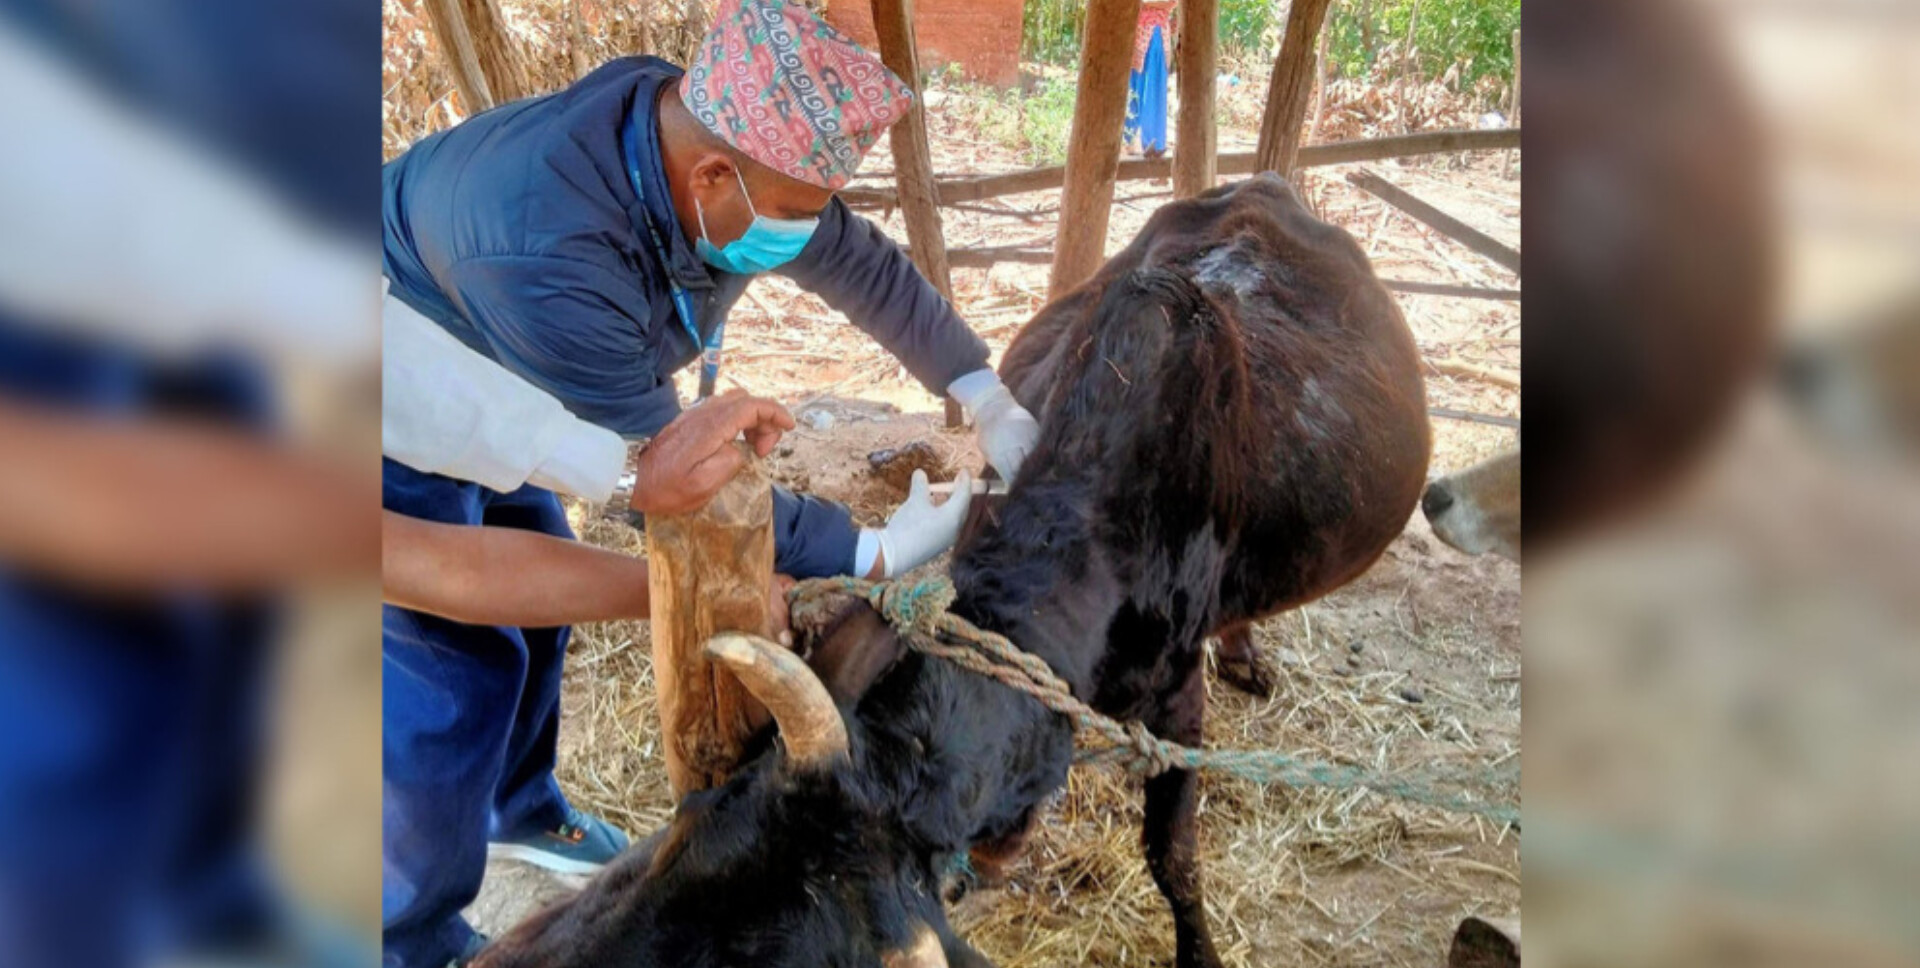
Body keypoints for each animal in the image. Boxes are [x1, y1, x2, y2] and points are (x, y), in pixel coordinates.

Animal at [473, 173, 1430, 968]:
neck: (1083, 533)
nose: (506, 959)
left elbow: (1175, 860)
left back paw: (1247, 653)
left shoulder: (1176, 704)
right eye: (692, 821)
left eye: (784, 953)